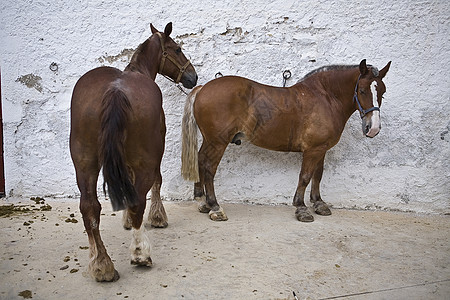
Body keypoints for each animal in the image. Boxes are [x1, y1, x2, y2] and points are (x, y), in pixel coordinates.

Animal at [70, 22, 197, 282]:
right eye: (178, 49)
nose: (193, 76)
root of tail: (115, 90)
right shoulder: (156, 150)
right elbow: (155, 182)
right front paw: (157, 217)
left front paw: (126, 220)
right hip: (145, 159)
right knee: (138, 199)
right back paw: (140, 253)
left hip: (84, 161)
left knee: (89, 206)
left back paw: (100, 263)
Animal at [181, 59, 388, 223]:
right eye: (362, 90)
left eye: (383, 92)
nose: (373, 128)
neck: (325, 98)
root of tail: (203, 89)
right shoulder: (312, 150)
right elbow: (305, 176)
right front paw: (301, 208)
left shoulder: (321, 149)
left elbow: (317, 175)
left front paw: (318, 203)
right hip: (218, 142)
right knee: (209, 167)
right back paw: (215, 207)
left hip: (210, 141)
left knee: (200, 160)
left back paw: (203, 202)